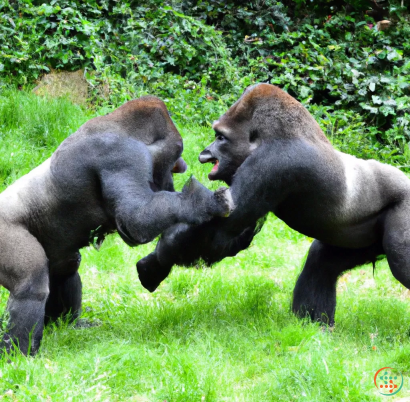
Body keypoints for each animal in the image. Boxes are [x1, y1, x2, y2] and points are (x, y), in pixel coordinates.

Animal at [0, 95, 232, 354]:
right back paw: (18, 354)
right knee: (31, 286)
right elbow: (136, 220)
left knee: (65, 267)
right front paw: (201, 202)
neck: (123, 129)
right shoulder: (123, 154)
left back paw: (69, 324)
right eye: (178, 151)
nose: (182, 165)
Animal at [138, 83, 410, 328]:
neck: (276, 135)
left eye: (221, 137)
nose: (205, 153)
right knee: (322, 263)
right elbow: (225, 233)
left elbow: (221, 227)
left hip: (404, 208)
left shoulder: (273, 163)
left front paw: (156, 261)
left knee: (401, 264)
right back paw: (315, 327)